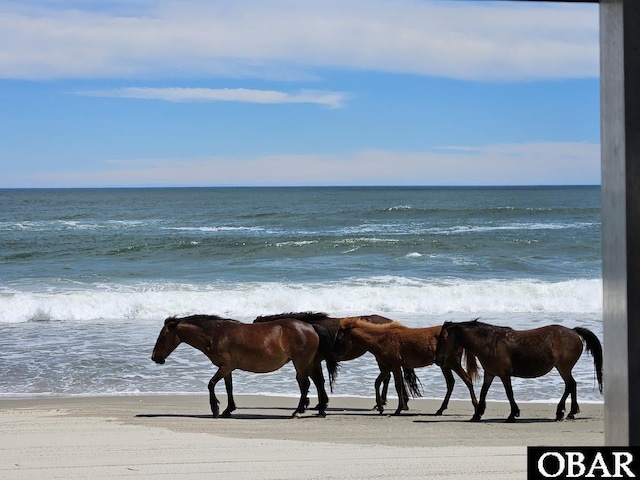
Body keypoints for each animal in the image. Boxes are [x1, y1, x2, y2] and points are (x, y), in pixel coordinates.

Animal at [151, 314, 340, 418]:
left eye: (163, 336)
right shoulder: (226, 369)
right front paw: (228, 409)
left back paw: (298, 411)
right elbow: (229, 388)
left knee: (305, 383)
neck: (215, 334)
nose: (155, 358)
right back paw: (321, 410)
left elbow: (211, 384)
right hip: (310, 363)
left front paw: (215, 409)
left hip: (301, 363)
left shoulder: (225, 367)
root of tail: (311, 326)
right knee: (318, 382)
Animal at [256, 314, 416, 410]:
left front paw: (320, 403)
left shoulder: (314, 361)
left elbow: (317, 380)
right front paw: (320, 403)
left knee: (390, 377)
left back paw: (387, 402)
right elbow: (318, 380)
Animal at [338, 316, 478, 414]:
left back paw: (476, 407)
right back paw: (440, 410)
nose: (336, 354)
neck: (381, 339)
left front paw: (398, 409)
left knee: (467, 379)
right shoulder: (387, 368)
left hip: (453, 362)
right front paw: (381, 407)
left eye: (340, 336)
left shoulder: (394, 366)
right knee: (451, 383)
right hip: (445, 365)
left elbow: (398, 386)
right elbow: (378, 383)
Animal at [432, 320, 604, 422]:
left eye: (444, 338)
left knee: (570, 385)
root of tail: (573, 331)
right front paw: (477, 414)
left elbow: (509, 393)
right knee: (572, 385)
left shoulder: (504, 374)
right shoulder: (490, 373)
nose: (437, 360)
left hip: (564, 367)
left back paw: (561, 412)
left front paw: (513, 414)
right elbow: (483, 392)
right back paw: (570, 412)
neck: (490, 343)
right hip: (564, 368)